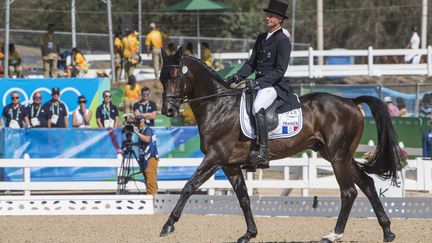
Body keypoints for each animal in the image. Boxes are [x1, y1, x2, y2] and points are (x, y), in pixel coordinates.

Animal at [158, 47, 404, 243]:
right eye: (161, 77)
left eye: (175, 76)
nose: (168, 110)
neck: (218, 106)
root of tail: (351, 102)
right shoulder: (230, 165)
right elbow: (243, 198)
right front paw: (250, 233)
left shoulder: (215, 157)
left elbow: (189, 186)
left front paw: (168, 225)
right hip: (335, 154)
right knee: (367, 184)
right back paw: (388, 232)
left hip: (337, 156)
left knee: (349, 191)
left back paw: (334, 234)